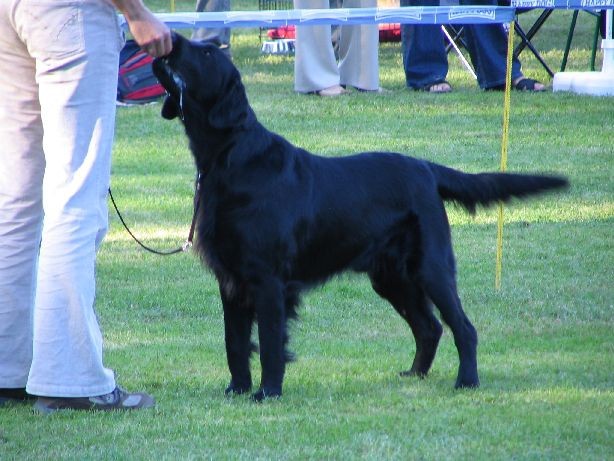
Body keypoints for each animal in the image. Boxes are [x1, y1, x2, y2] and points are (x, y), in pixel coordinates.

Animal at [153, 34, 568, 400]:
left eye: (207, 53)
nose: (171, 39)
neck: (230, 158)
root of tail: (425, 168)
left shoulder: (267, 279)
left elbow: (270, 343)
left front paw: (267, 393)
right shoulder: (231, 280)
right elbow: (235, 343)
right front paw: (237, 390)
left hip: (430, 268)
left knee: (463, 328)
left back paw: (467, 381)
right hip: (391, 277)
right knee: (429, 327)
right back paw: (415, 375)